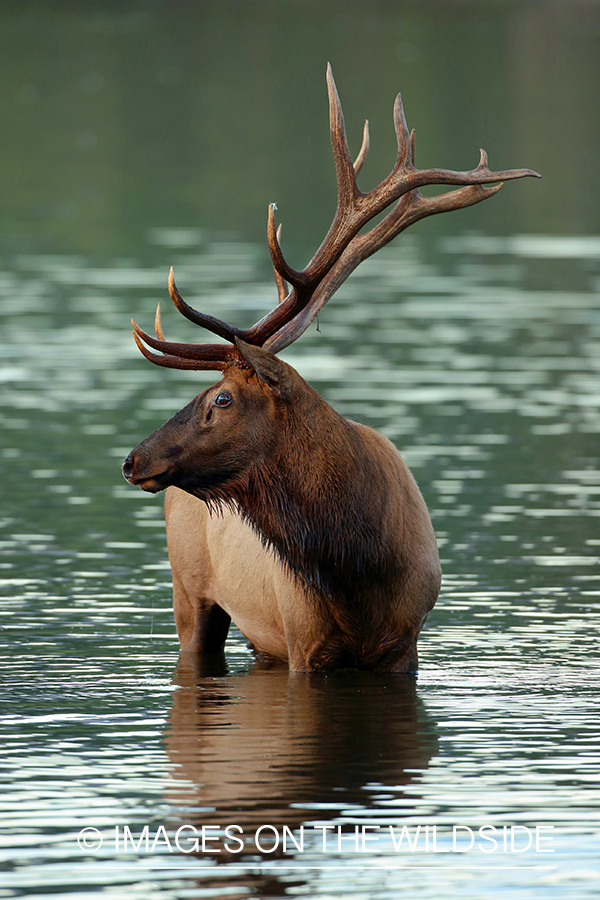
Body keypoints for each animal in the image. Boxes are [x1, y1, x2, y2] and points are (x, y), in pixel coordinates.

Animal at [122, 67, 540, 672]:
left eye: (221, 398)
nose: (133, 459)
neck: (358, 568)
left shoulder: (406, 643)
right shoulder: (303, 642)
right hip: (191, 592)